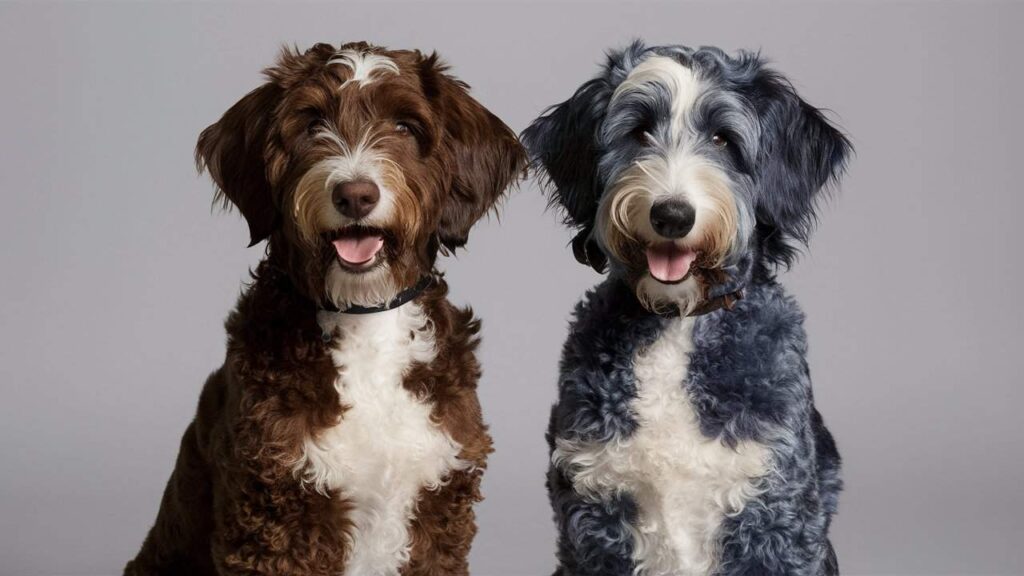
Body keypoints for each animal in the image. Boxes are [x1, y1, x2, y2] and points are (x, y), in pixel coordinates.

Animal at [126, 42, 524, 573]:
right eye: (312, 123)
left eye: (405, 126)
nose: (355, 194)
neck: (365, 316)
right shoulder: (274, 511)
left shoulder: (441, 506)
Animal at [524, 42, 851, 573]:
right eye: (639, 131)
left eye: (723, 139)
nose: (672, 215)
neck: (676, 322)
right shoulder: (595, 515)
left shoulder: (774, 516)